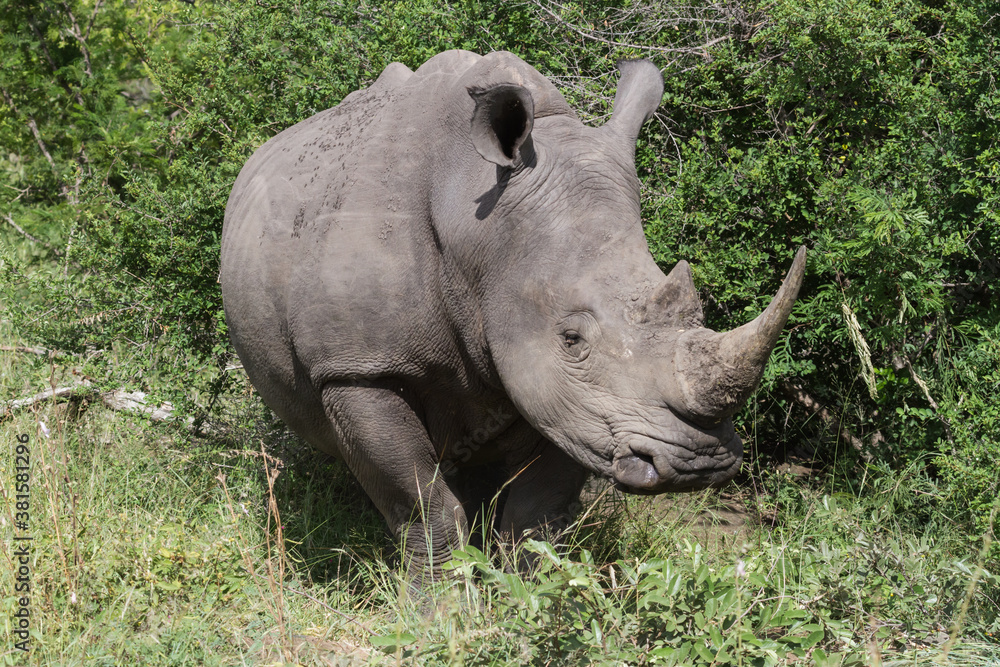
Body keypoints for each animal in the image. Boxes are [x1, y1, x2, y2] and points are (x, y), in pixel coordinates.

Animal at [221, 50, 805, 573]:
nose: (701, 461)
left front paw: (531, 601)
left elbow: (536, 515)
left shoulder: (574, 403)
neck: (476, 231)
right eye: (572, 338)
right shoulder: (357, 366)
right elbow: (424, 509)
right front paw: (441, 615)